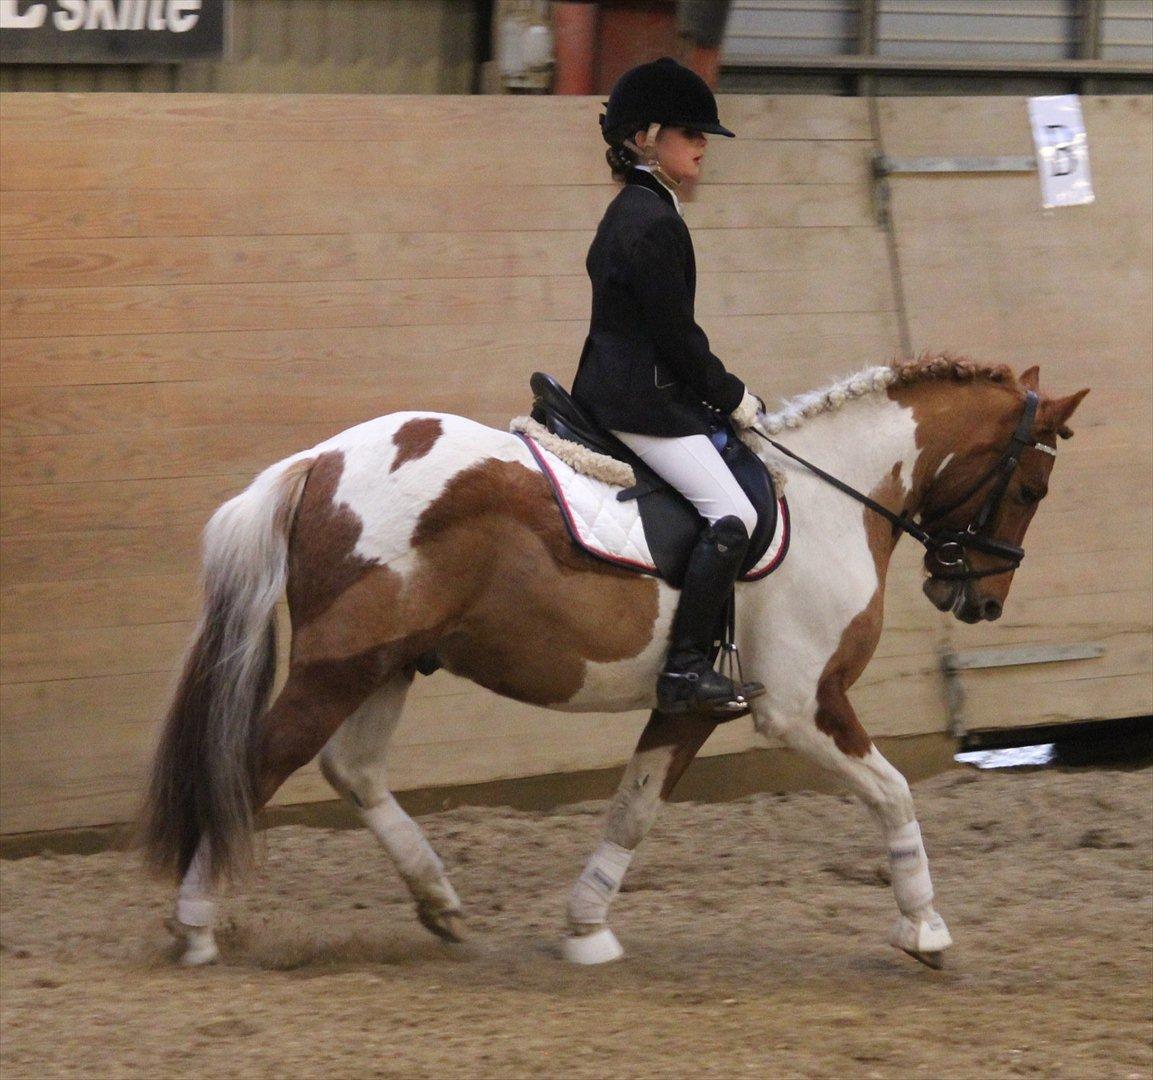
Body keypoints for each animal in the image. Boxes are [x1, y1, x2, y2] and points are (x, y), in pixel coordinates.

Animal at [139, 355, 1083, 968]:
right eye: (1030, 489)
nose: (979, 601)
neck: (830, 497)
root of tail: (320, 460)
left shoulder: (695, 701)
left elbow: (633, 810)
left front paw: (585, 929)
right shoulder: (801, 705)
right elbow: (892, 792)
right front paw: (924, 930)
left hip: (387, 662)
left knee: (354, 770)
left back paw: (439, 902)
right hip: (341, 664)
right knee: (254, 765)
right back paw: (193, 925)